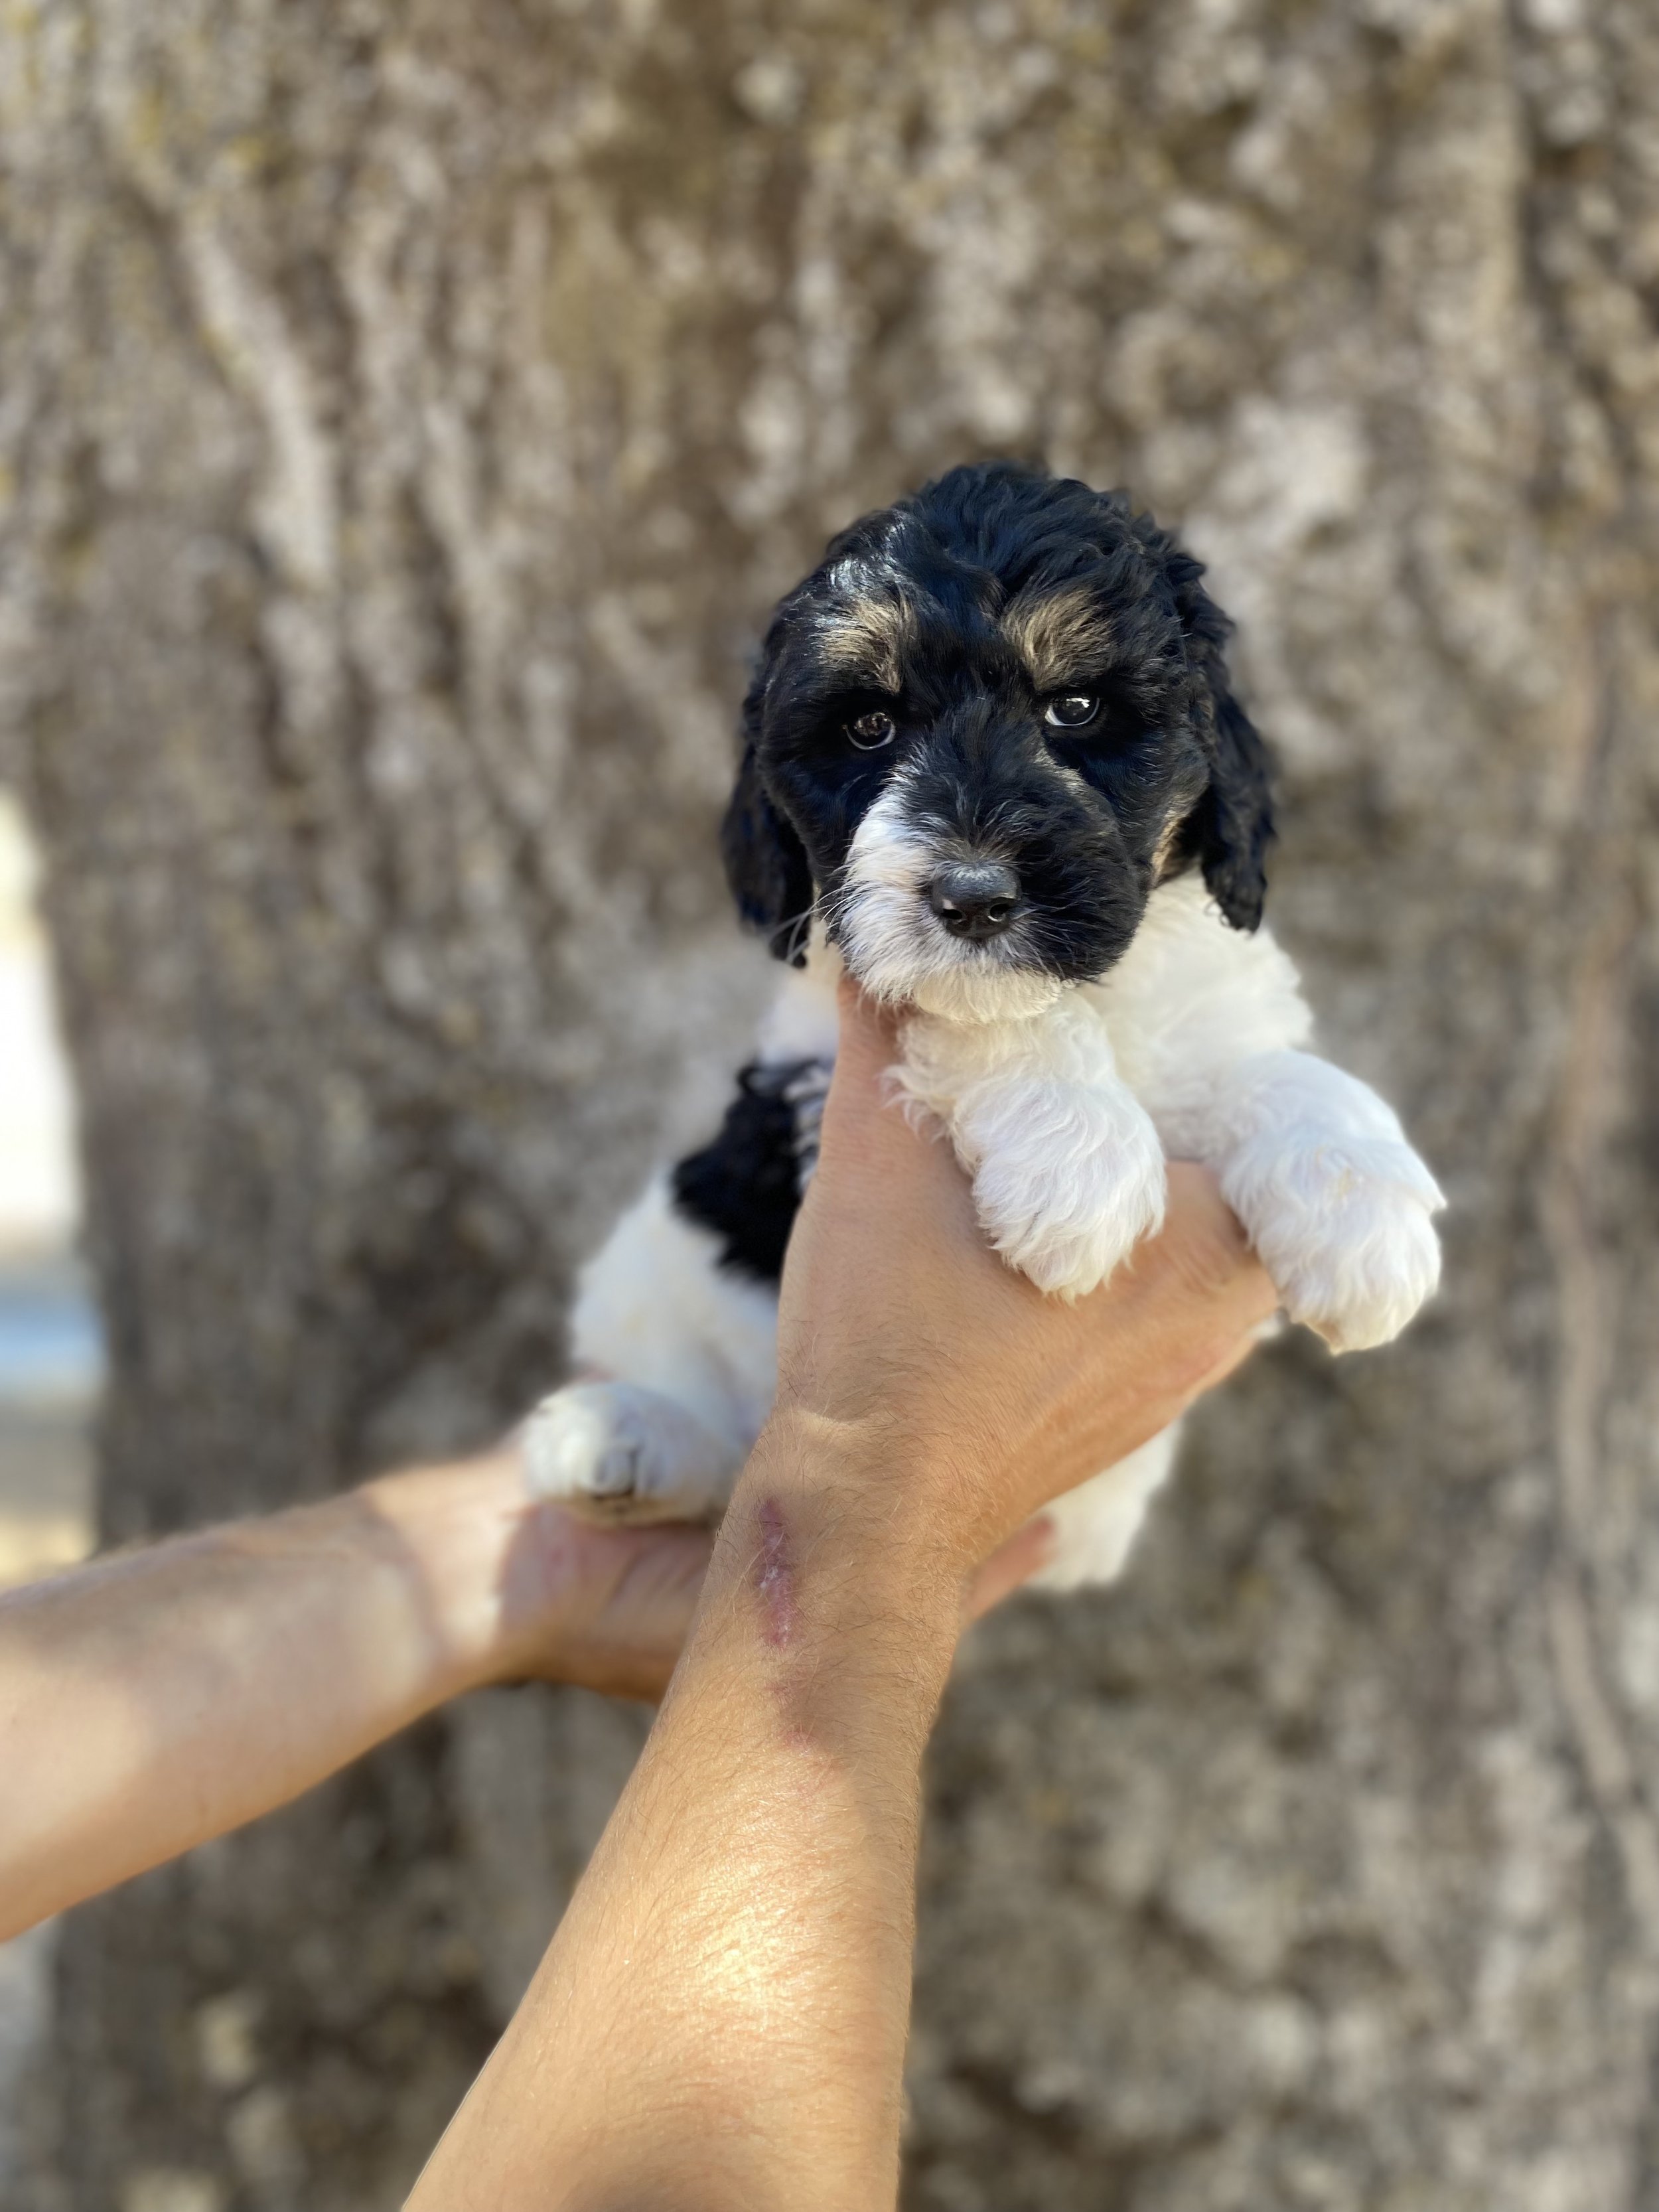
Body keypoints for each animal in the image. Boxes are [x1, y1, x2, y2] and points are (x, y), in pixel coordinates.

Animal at [526, 457, 1451, 1584]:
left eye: (1077, 707)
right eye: (869, 728)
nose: (971, 896)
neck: (1102, 992)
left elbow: (1270, 1068)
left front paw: (1363, 1211)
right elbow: (980, 1013)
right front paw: (1080, 1166)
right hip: (655, 1270)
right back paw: (620, 1432)